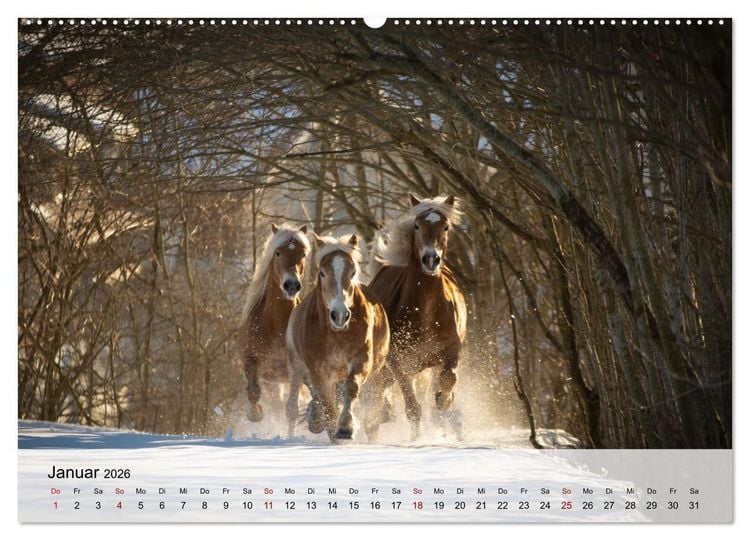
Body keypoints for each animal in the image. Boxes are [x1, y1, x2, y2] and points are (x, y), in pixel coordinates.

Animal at [237, 223, 310, 423]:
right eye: (277, 253)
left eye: (303, 254)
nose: (291, 285)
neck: (276, 325)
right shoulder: (251, 361)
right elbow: (253, 392)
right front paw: (255, 413)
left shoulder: (296, 371)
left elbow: (292, 409)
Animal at [285, 233, 390, 442]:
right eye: (322, 273)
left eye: (352, 273)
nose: (339, 315)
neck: (336, 334)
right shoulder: (319, 372)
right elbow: (327, 405)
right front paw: (333, 431)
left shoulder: (361, 360)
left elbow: (351, 388)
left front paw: (345, 428)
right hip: (297, 369)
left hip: (375, 374)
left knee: (372, 411)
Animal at [367, 194, 467, 439]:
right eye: (416, 225)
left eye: (445, 226)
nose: (430, 259)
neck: (426, 310)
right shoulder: (398, 361)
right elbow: (412, 408)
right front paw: (415, 440)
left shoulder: (451, 349)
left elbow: (448, 378)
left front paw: (444, 400)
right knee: (379, 395)